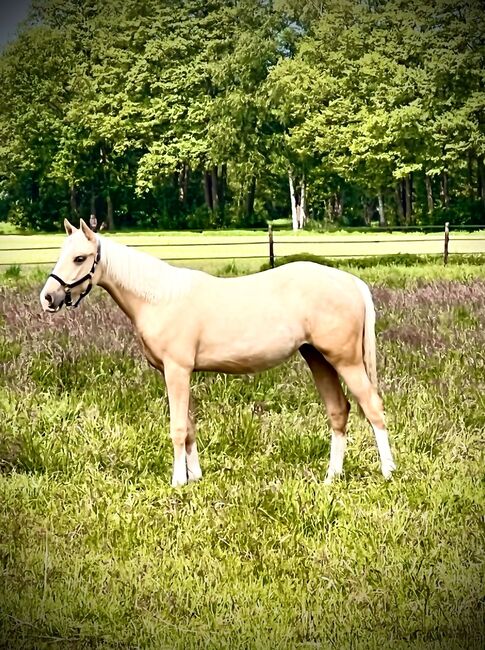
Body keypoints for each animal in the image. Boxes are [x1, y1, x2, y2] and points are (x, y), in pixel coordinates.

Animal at [37, 220, 394, 484]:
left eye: (80, 258)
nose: (49, 298)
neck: (160, 298)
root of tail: (352, 282)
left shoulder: (177, 371)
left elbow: (178, 427)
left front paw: (177, 482)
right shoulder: (179, 373)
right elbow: (190, 426)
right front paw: (195, 478)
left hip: (346, 361)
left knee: (373, 407)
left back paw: (388, 472)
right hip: (318, 358)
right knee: (339, 411)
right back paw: (332, 477)